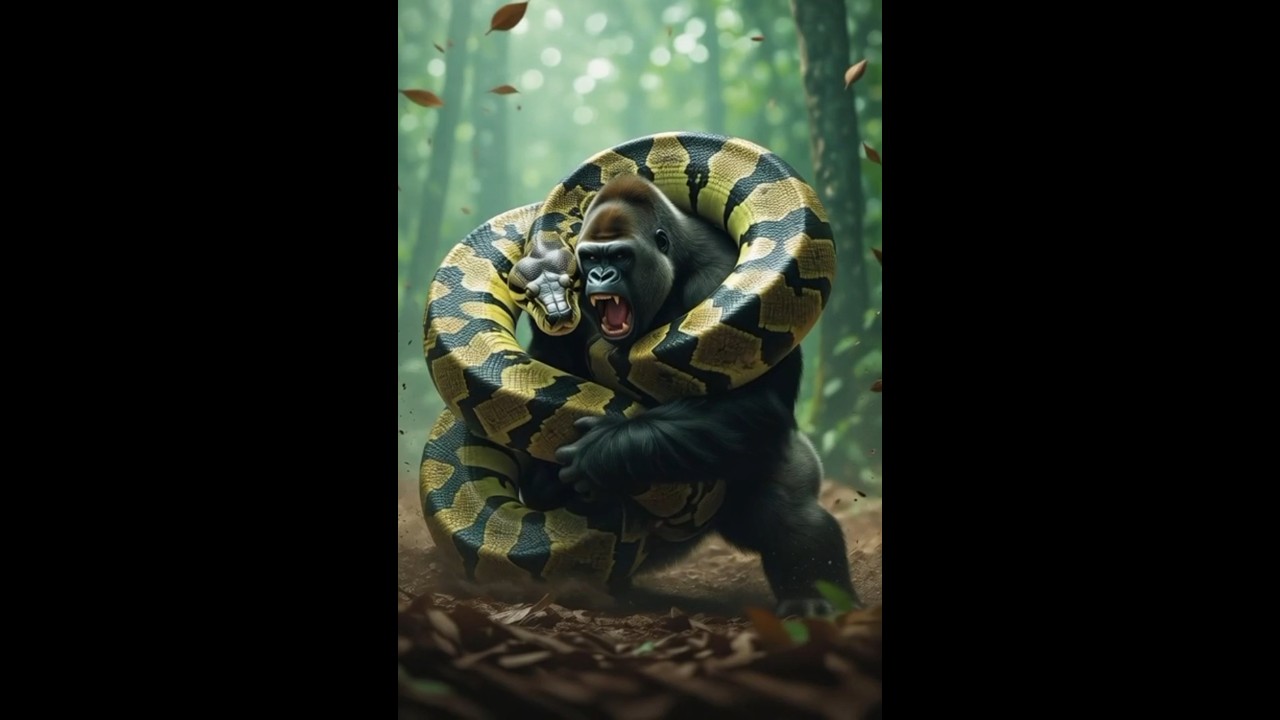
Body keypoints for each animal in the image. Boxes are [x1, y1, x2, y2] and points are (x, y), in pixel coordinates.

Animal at [521, 173, 856, 616]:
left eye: (620, 256)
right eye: (589, 259)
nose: (599, 277)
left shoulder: (716, 278)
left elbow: (757, 405)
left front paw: (606, 449)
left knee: (787, 511)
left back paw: (814, 599)